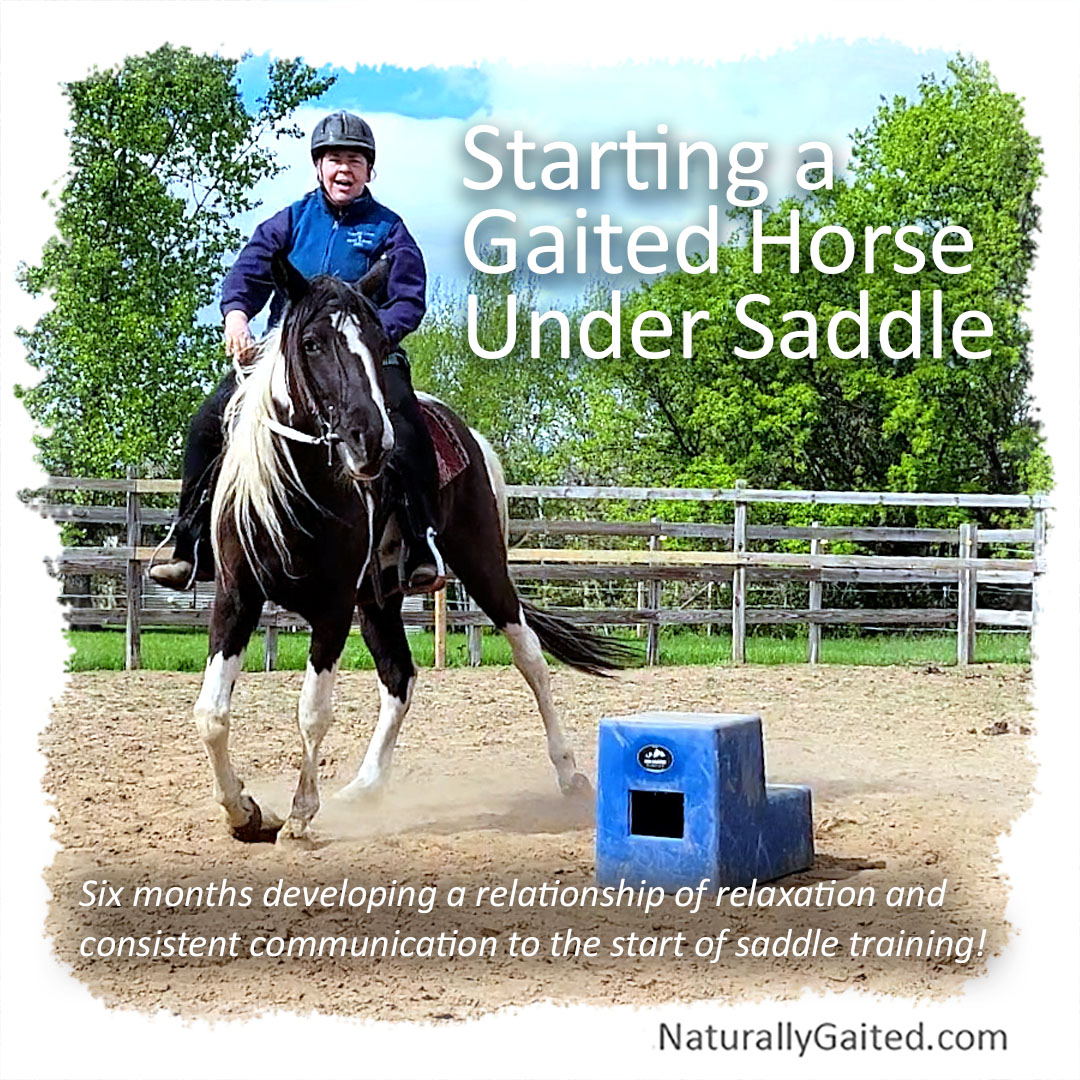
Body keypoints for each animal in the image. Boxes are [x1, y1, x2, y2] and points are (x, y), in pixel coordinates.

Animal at [194, 252, 634, 843]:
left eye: (380, 341)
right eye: (310, 342)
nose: (369, 440)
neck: (300, 490)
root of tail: (468, 434)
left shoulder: (333, 609)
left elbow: (313, 711)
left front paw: (301, 815)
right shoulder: (237, 598)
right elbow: (212, 713)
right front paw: (242, 811)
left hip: (482, 566)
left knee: (531, 660)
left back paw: (569, 775)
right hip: (378, 600)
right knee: (399, 677)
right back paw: (364, 786)